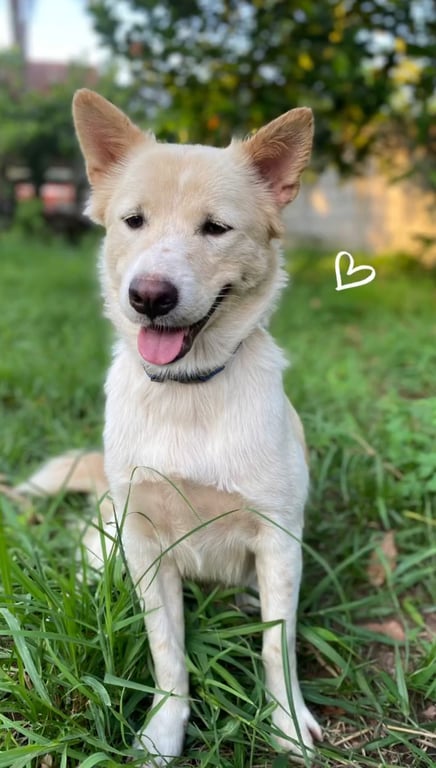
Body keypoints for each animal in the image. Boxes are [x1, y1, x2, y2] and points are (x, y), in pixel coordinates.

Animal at [20, 89, 321, 766]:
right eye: (134, 221)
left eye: (215, 228)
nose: (149, 296)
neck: (189, 391)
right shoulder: (146, 545)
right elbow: (167, 653)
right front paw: (164, 729)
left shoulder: (278, 542)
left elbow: (276, 646)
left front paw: (288, 723)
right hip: (106, 538)